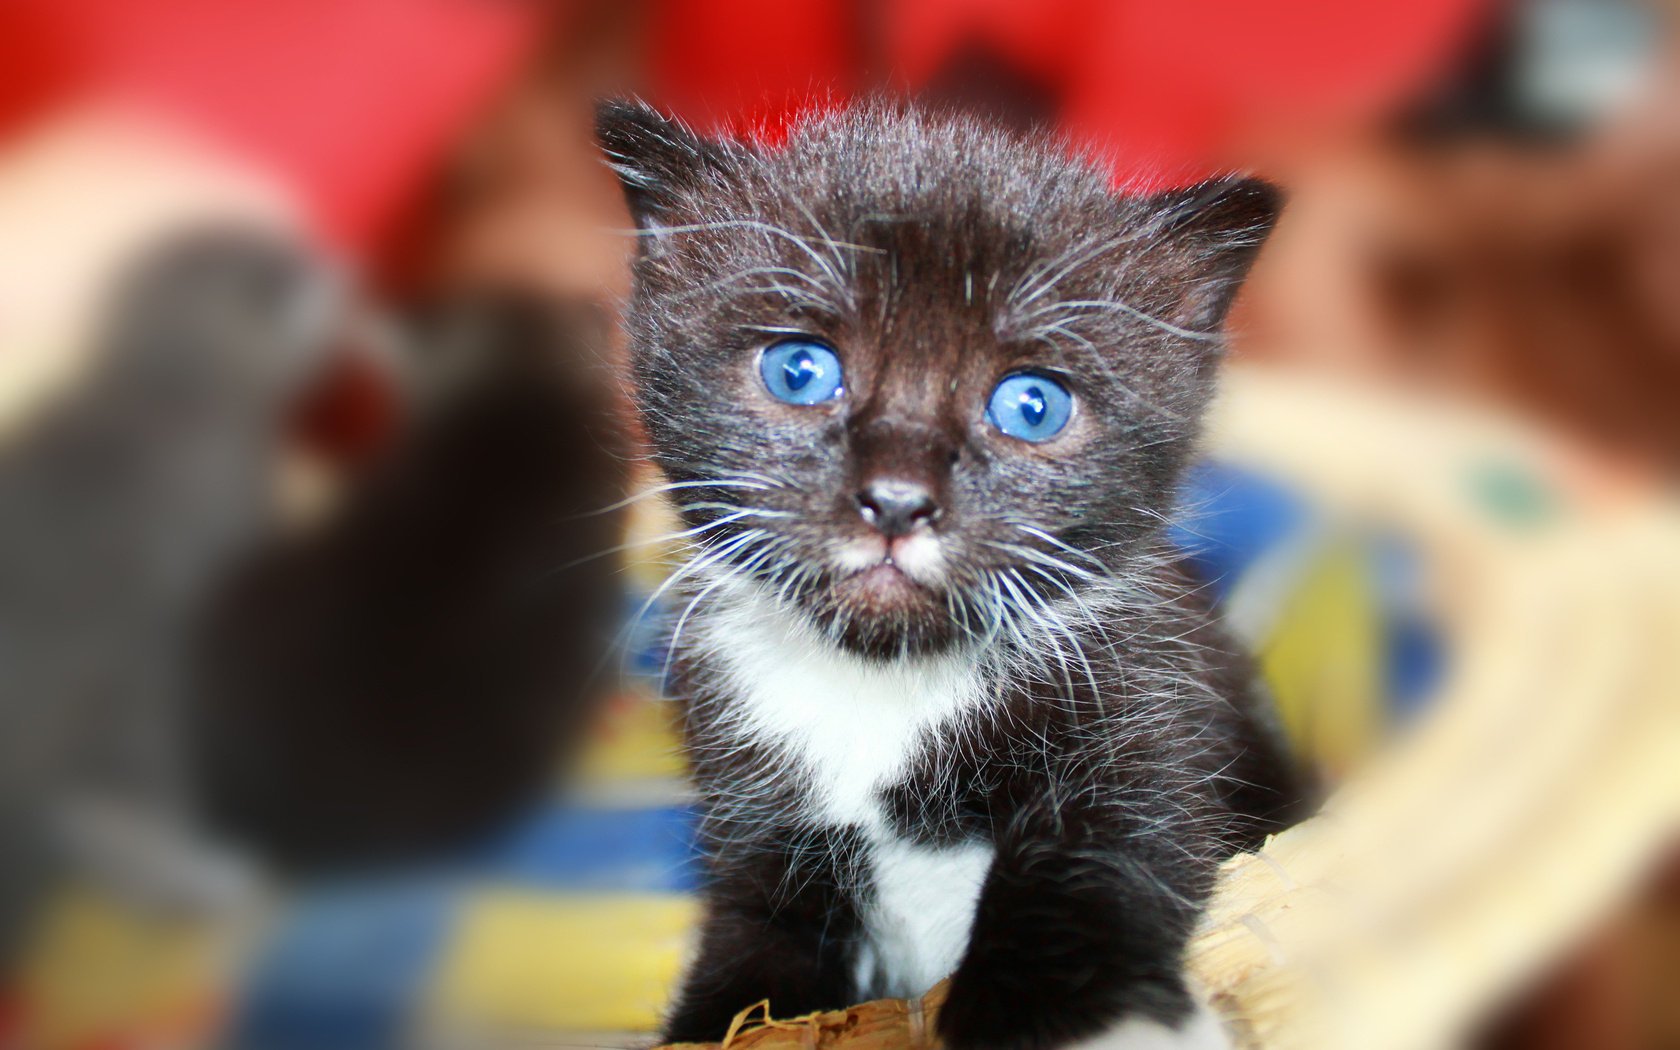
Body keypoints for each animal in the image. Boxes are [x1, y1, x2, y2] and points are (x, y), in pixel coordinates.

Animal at [604, 100, 1310, 1048]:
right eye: (800, 370)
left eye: (1031, 404)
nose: (898, 502)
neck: (882, 685)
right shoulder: (754, 820)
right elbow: (749, 971)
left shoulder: (1151, 716)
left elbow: (1096, 863)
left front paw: (1078, 1018)